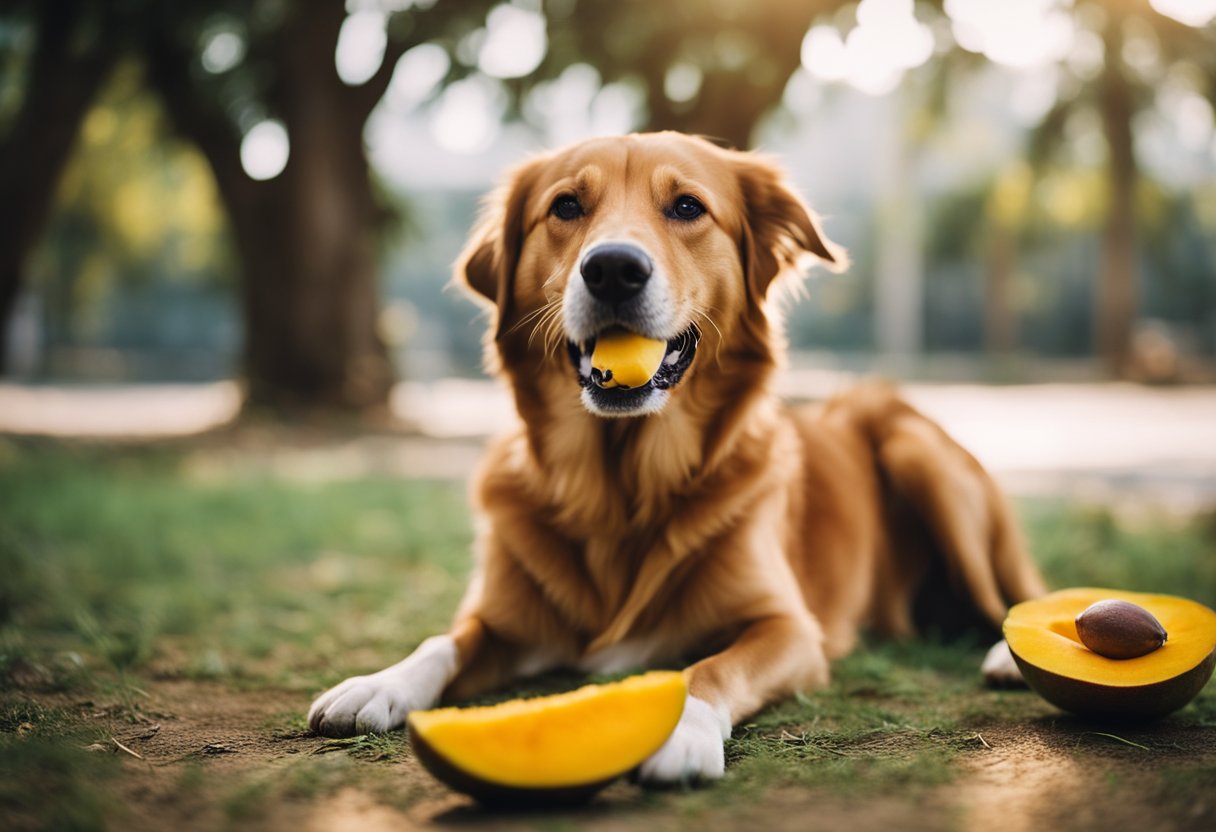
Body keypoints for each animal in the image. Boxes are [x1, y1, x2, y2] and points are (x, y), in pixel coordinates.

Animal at [306, 130, 1045, 778]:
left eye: (687, 206)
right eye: (566, 206)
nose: (612, 268)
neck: (621, 488)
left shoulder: (789, 629)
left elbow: (709, 667)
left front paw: (681, 732)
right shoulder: (504, 618)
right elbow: (446, 639)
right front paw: (379, 682)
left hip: (919, 457)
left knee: (1012, 597)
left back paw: (1010, 653)